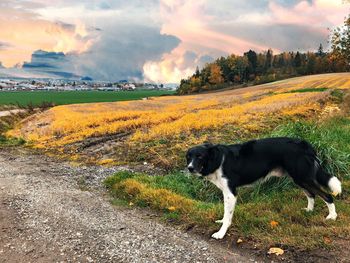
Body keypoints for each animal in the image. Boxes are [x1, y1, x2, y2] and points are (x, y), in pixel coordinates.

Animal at [186, 139, 342, 240]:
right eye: (188, 157)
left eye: (199, 156)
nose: (189, 168)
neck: (217, 159)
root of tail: (306, 145)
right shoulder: (226, 192)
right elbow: (226, 214)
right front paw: (221, 221)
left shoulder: (231, 193)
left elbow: (228, 216)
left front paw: (221, 233)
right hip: (299, 178)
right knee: (311, 194)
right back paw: (309, 210)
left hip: (302, 177)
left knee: (327, 195)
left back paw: (332, 216)